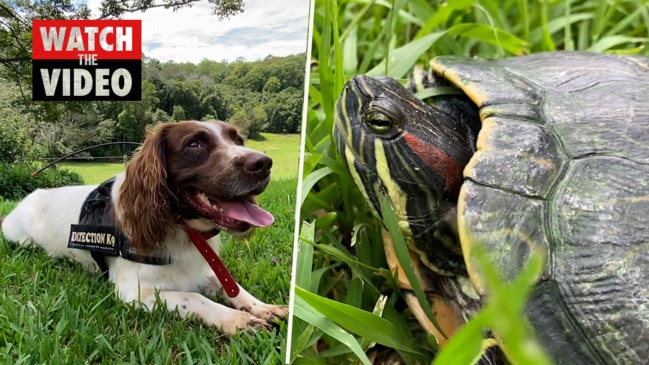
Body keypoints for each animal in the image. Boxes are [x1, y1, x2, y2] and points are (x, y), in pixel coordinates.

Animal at [0, 119, 288, 332]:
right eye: (194, 144)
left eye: (238, 141)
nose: (264, 163)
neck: (181, 229)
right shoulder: (134, 291)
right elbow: (194, 297)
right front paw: (237, 320)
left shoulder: (200, 268)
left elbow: (232, 286)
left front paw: (263, 308)